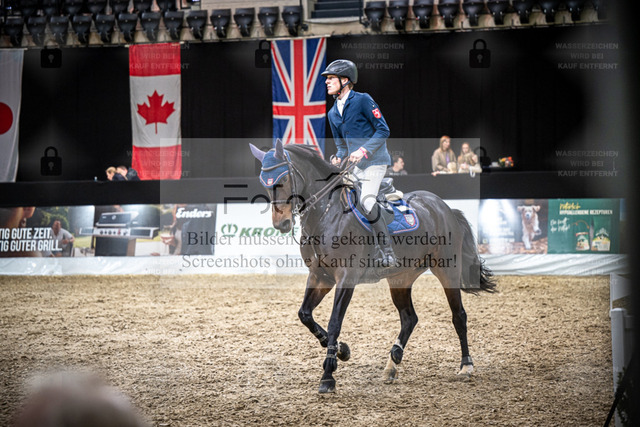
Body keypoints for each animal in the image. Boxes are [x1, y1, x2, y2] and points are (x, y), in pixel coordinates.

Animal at [250, 140, 497, 394]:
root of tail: (443, 207)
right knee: (409, 318)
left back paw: (466, 366)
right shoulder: (320, 276)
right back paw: (392, 362)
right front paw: (342, 350)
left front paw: (328, 375)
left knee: (459, 316)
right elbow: (305, 315)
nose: (281, 224)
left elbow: (334, 321)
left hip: (447, 270)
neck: (327, 215)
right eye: (264, 183)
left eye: (284, 179)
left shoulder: (346, 277)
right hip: (400, 278)